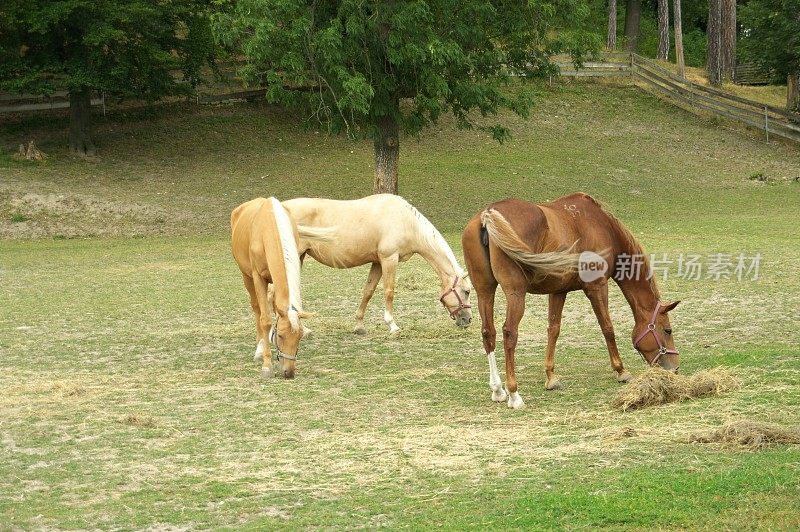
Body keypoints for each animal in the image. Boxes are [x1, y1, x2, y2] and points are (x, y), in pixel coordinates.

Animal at [231, 198, 332, 378]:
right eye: (280, 335)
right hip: (246, 276)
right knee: (257, 308)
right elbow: (264, 319)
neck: (268, 227)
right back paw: (259, 348)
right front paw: (266, 365)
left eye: (299, 337)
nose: (288, 372)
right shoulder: (258, 277)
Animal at [282, 193, 472, 334]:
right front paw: (392, 325)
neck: (405, 221)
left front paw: (359, 326)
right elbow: (389, 291)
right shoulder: (389, 259)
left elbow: (368, 291)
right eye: (467, 291)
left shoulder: (377, 263)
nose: (468, 319)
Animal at [462, 193, 680, 410]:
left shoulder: (558, 291)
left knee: (488, 333)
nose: (675, 368)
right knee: (509, 333)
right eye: (668, 330)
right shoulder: (597, 287)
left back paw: (498, 390)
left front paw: (551, 377)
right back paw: (514, 394)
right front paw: (621, 370)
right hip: (516, 293)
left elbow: (553, 330)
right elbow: (607, 328)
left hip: (484, 291)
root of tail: (488, 214)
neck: (602, 226)